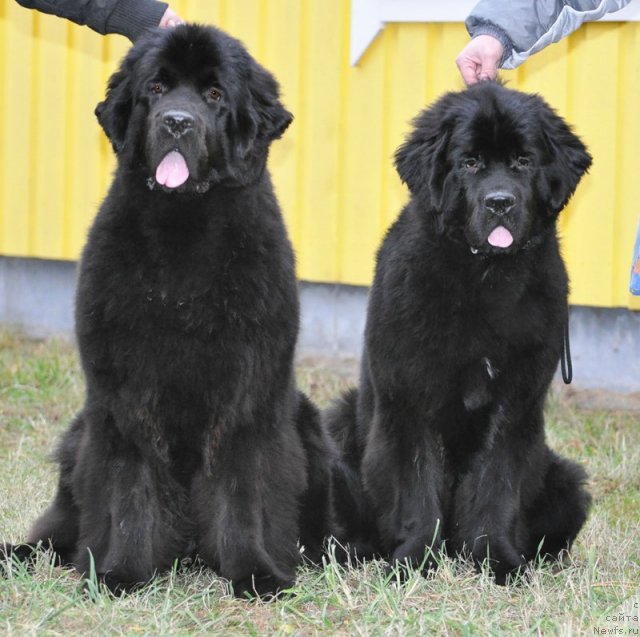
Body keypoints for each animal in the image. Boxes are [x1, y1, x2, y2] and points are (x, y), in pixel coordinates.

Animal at [5, 24, 332, 600]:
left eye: (215, 95)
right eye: (156, 89)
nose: (176, 121)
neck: (184, 229)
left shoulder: (248, 391)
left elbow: (243, 487)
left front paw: (255, 572)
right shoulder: (123, 395)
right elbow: (130, 488)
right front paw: (120, 572)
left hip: (308, 422)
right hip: (79, 436)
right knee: (60, 525)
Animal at [330, 82, 596, 584]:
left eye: (523, 162)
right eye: (469, 163)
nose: (500, 202)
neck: (483, 275)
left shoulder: (515, 402)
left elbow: (495, 485)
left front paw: (499, 561)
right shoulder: (407, 396)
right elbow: (415, 487)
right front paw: (413, 561)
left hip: (565, 481)